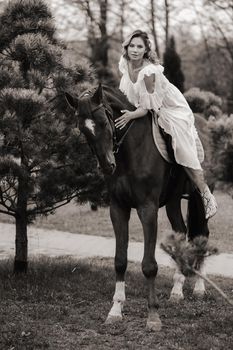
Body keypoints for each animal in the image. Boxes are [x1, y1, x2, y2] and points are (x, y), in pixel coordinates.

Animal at [65, 84, 209, 330]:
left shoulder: (147, 209)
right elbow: (120, 261)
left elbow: (149, 265)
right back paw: (177, 289)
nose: (107, 166)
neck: (130, 151)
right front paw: (115, 310)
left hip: (200, 196)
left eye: (104, 122)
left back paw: (199, 287)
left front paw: (153, 316)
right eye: (83, 130)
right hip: (172, 201)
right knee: (181, 232)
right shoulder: (118, 209)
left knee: (203, 235)